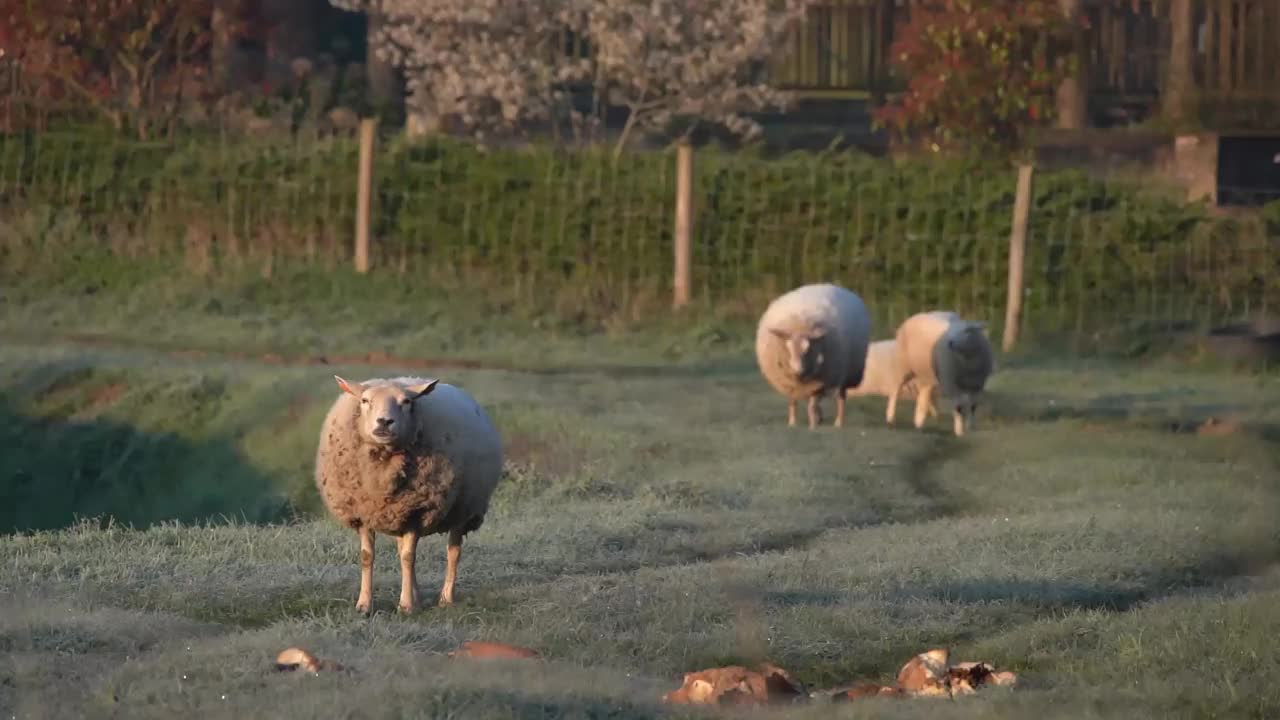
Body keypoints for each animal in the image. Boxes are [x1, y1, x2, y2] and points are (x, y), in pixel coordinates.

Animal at [314, 371, 504, 614]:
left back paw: (445, 597)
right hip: (400, 515)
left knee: (453, 551)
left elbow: (408, 557)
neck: (381, 477)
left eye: (407, 402)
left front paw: (405, 605)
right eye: (365, 400)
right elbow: (368, 556)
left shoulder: (417, 510)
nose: (384, 422)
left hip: (464, 508)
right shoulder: (364, 512)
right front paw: (364, 604)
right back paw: (418, 596)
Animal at [752, 280, 875, 425]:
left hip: (848, 373)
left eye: (807, 348)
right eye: (788, 347)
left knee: (841, 397)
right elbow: (793, 403)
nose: (798, 370)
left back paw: (838, 422)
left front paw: (813, 424)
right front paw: (792, 423)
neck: (798, 324)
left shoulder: (819, 383)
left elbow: (812, 404)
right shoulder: (790, 383)